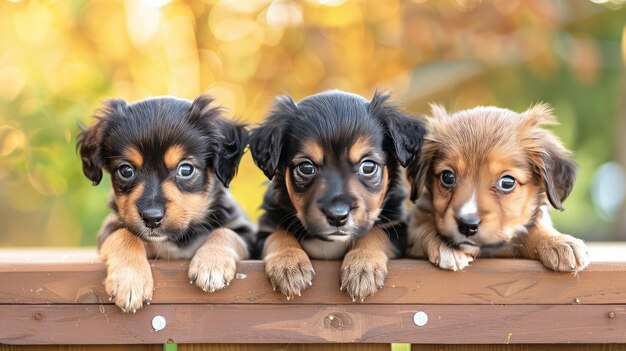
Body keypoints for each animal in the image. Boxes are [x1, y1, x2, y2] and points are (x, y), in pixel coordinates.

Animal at [78, 95, 254, 312]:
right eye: (126, 171)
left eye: (186, 169)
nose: (151, 218)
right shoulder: (110, 227)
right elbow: (124, 235)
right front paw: (130, 280)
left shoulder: (247, 232)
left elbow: (225, 232)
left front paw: (212, 264)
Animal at [249, 91, 424, 302]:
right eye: (306, 167)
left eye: (368, 166)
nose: (337, 216)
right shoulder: (263, 232)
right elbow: (278, 234)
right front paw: (288, 264)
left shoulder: (397, 228)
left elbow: (375, 232)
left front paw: (363, 265)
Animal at [408, 103, 588, 274]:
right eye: (447, 177)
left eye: (507, 183)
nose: (467, 225)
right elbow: (424, 227)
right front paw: (446, 245)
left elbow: (534, 229)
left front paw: (560, 242)